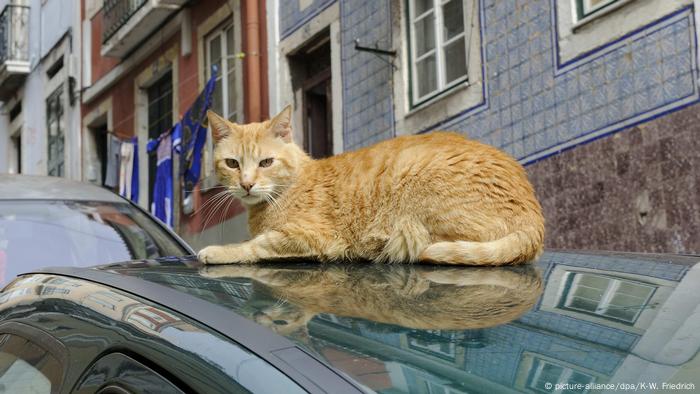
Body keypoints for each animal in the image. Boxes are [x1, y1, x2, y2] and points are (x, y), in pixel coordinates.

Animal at [198, 105, 548, 264]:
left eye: (266, 163)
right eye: (233, 164)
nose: (246, 184)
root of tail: (535, 217)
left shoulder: (311, 237)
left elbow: (256, 245)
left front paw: (217, 251)